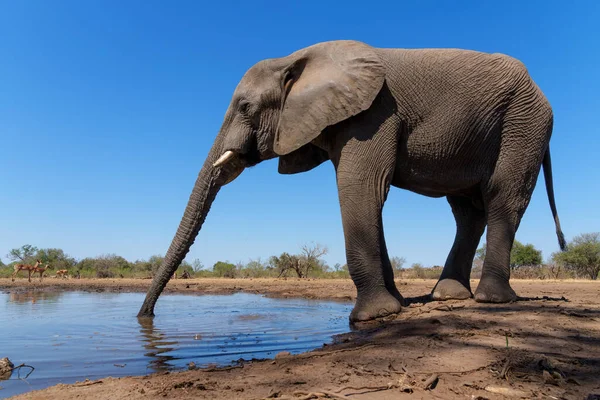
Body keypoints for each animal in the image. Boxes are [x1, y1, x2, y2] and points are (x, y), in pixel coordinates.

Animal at [138, 39, 564, 322]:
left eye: (245, 107)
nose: (145, 318)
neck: (295, 60)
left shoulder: (372, 113)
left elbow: (362, 186)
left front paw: (372, 316)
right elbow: (369, 195)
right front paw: (394, 306)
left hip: (523, 122)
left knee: (503, 197)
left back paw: (493, 300)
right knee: (466, 211)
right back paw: (448, 297)